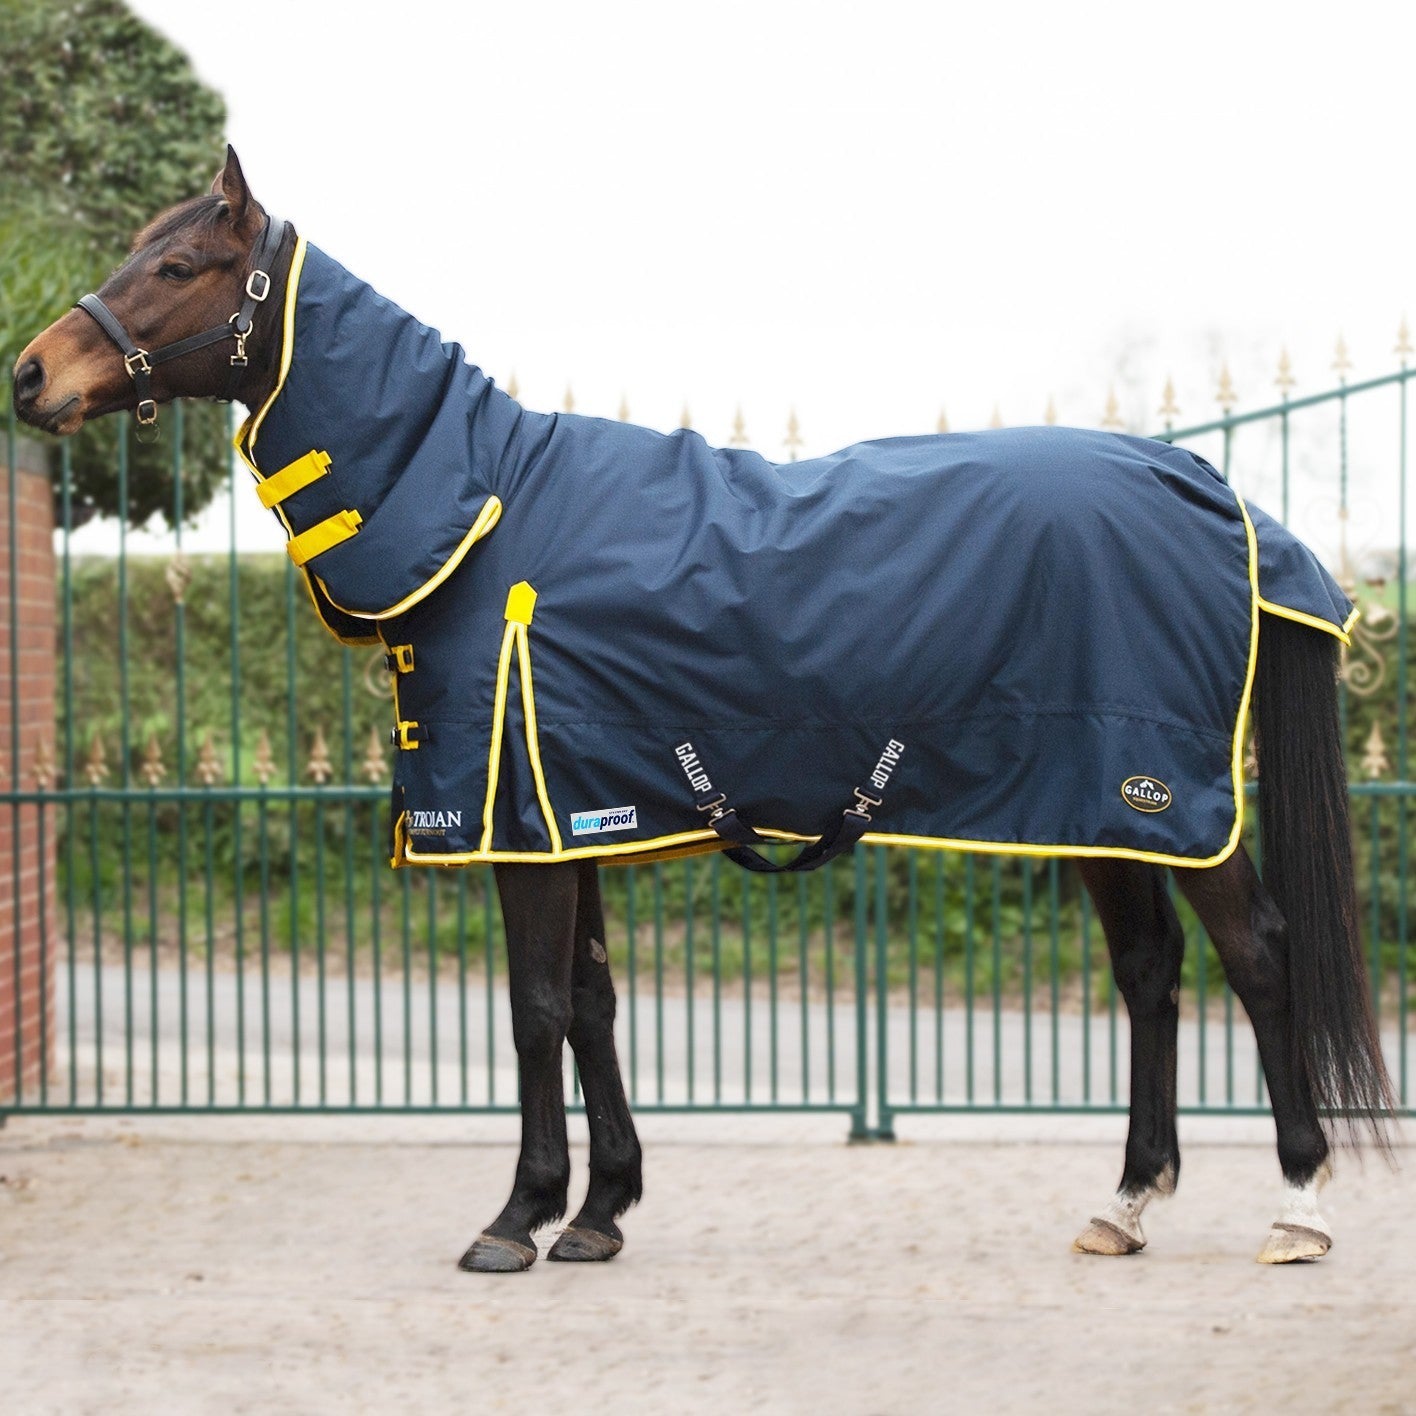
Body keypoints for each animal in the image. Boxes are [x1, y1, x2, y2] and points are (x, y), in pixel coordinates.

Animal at [13, 147, 1393, 1273]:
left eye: (177, 264)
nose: (31, 375)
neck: (486, 512)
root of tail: (1205, 481)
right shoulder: (571, 813)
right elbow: (594, 1006)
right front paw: (600, 1212)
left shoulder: (519, 821)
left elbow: (535, 1012)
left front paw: (517, 1218)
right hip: (1098, 806)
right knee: (1149, 973)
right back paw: (1127, 1204)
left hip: (1166, 801)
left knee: (1258, 958)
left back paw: (1301, 1206)